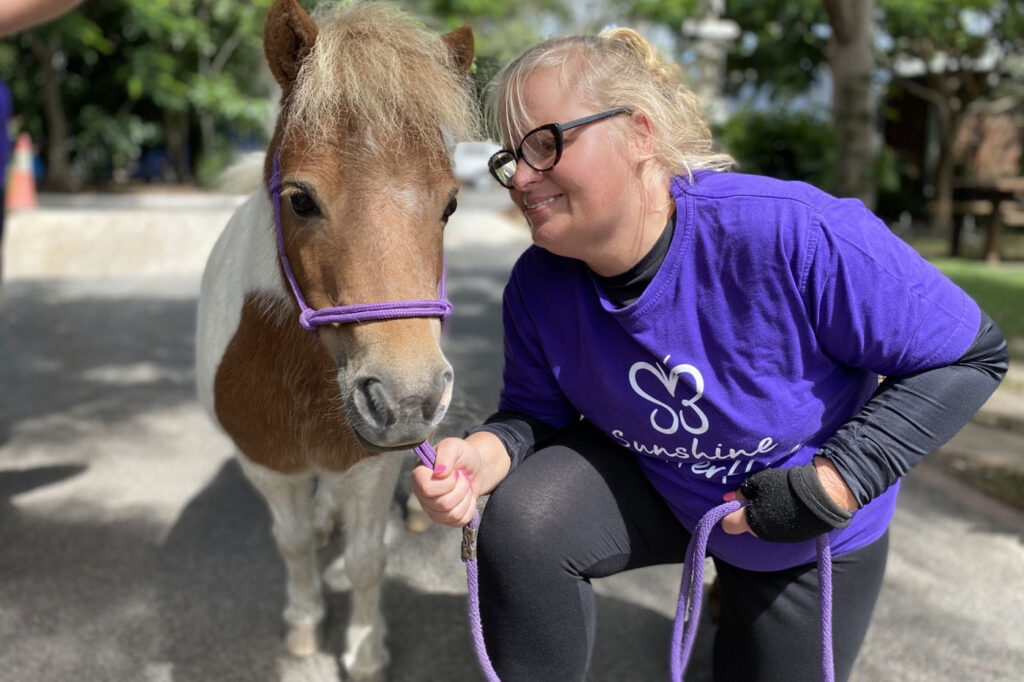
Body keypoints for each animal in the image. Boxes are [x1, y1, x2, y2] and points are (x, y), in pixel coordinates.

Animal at [194, 1, 478, 677]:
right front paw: (303, 626)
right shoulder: (267, 466)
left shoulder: (372, 465)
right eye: (300, 199)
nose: (405, 399)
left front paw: (366, 651)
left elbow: (367, 559)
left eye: (450, 205)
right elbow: (293, 543)